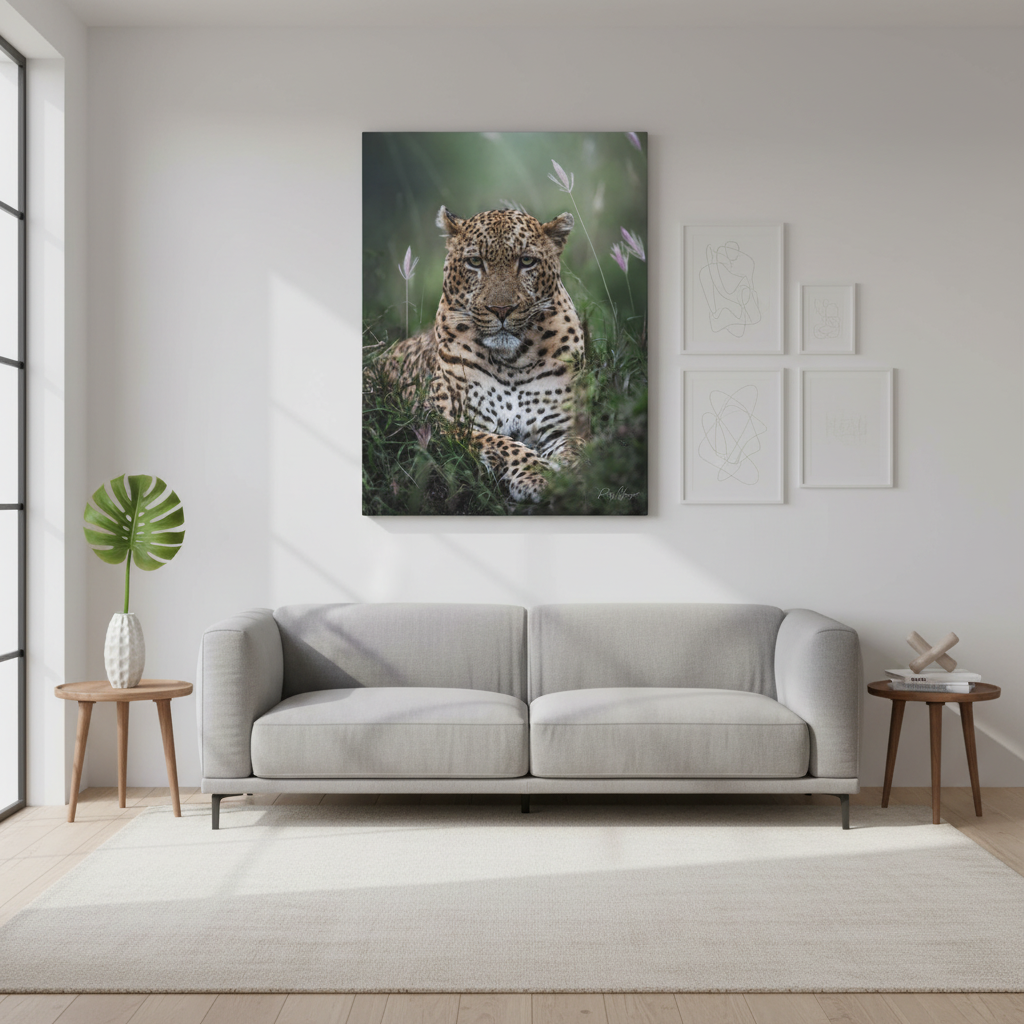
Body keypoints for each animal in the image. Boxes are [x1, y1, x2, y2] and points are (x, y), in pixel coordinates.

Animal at [377, 206, 586, 503]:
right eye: (475, 262)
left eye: (527, 261)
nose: (501, 309)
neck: (512, 362)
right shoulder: (450, 425)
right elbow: (504, 444)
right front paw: (537, 475)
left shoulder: (564, 425)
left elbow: (577, 448)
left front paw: (569, 472)